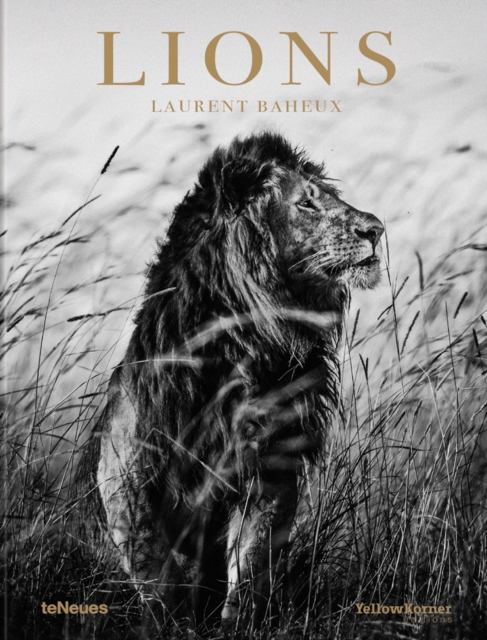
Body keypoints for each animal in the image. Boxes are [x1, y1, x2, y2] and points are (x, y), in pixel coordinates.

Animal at [75, 131, 383, 633]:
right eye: (307, 203)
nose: (376, 230)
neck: (245, 347)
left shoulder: (271, 469)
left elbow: (251, 564)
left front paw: (235, 624)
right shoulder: (127, 471)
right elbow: (157, 570)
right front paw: (170, 625)